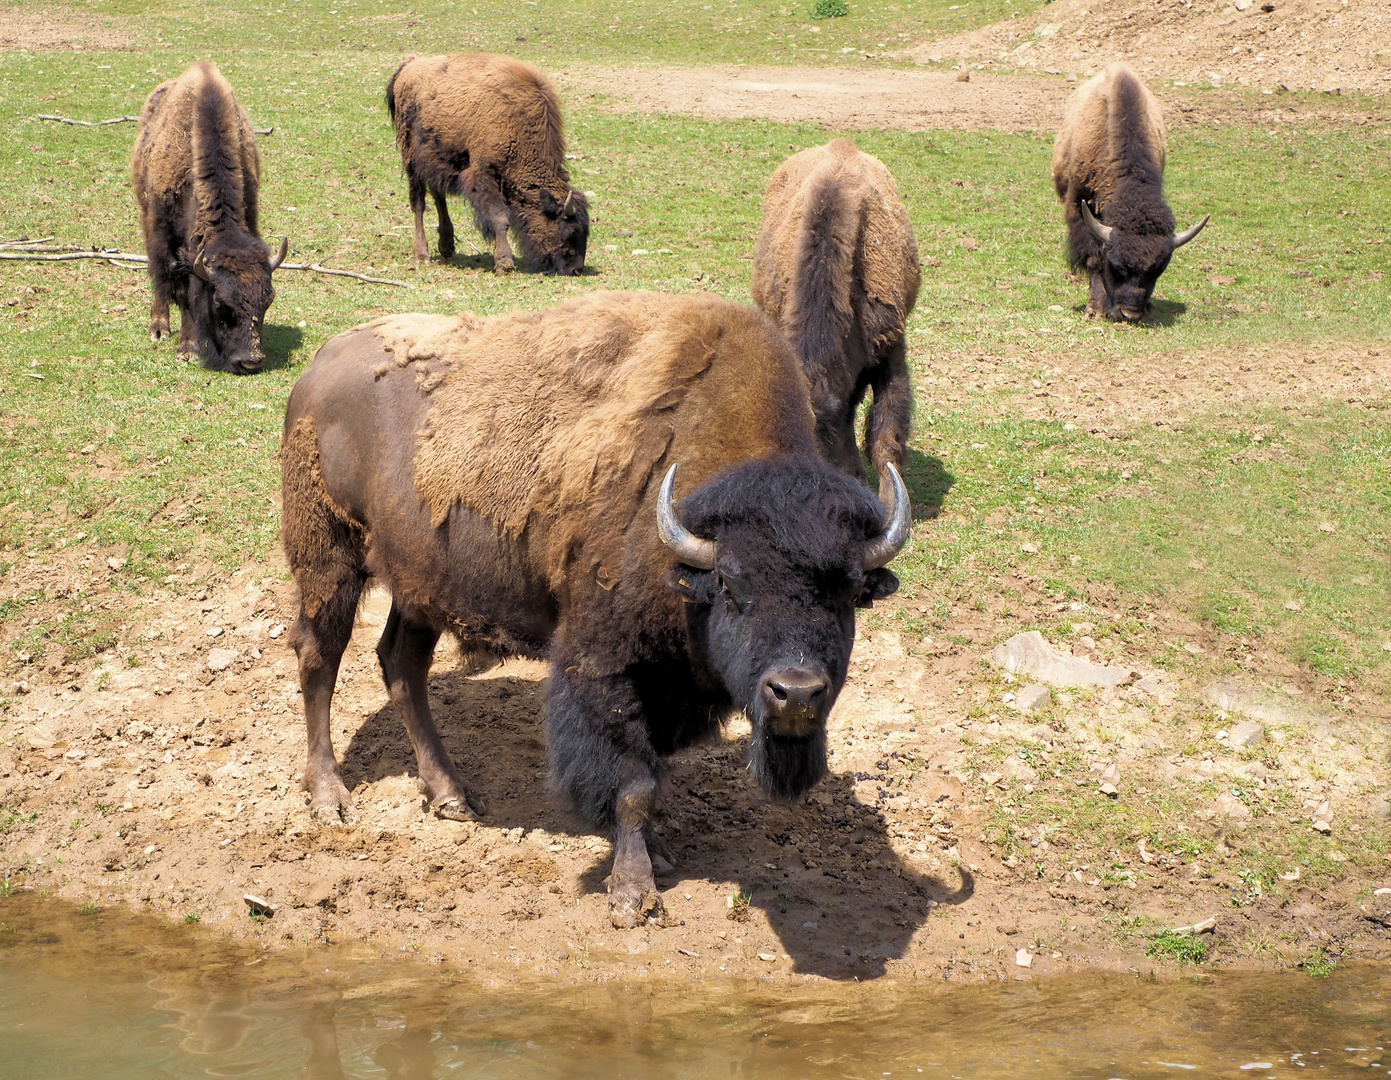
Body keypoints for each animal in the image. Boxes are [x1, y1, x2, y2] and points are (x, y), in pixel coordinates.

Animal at [132, 63, 290, 378]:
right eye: (220, 304)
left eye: (268, 300)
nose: (250, 361)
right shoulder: (173, 243)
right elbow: (181, 290)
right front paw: (188, 349)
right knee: (159, 274)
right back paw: (159, 328)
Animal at [282, 289, 912, 929]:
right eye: (732, 587)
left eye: (848, 594)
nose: (796, 693)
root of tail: (321, 365)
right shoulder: (603, 668)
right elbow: (633, 783)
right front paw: (633, 893)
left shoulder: (666, 688)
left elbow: (654, 775)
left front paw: (657, 855)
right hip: (329, 557)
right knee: (319, 658)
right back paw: (330, 798)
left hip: (419, 583)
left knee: (402, 664)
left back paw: (451, 795)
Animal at [383, 53, 589, 276]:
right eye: (570, 230)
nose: (576, 269)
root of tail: (408, 66)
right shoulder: (483, 175)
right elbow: (500, 218)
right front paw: (504, 262)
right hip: (411, 159)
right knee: (419, 203)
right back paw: (422, 255)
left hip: (436, 157)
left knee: (438, 195)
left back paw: (447, 246)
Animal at [1051, 62, 1207, 320]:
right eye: (1116, 267)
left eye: (1158, 270)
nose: (1130, 314)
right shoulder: (1079, 205)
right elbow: (1092, 257)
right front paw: (1095, 308)